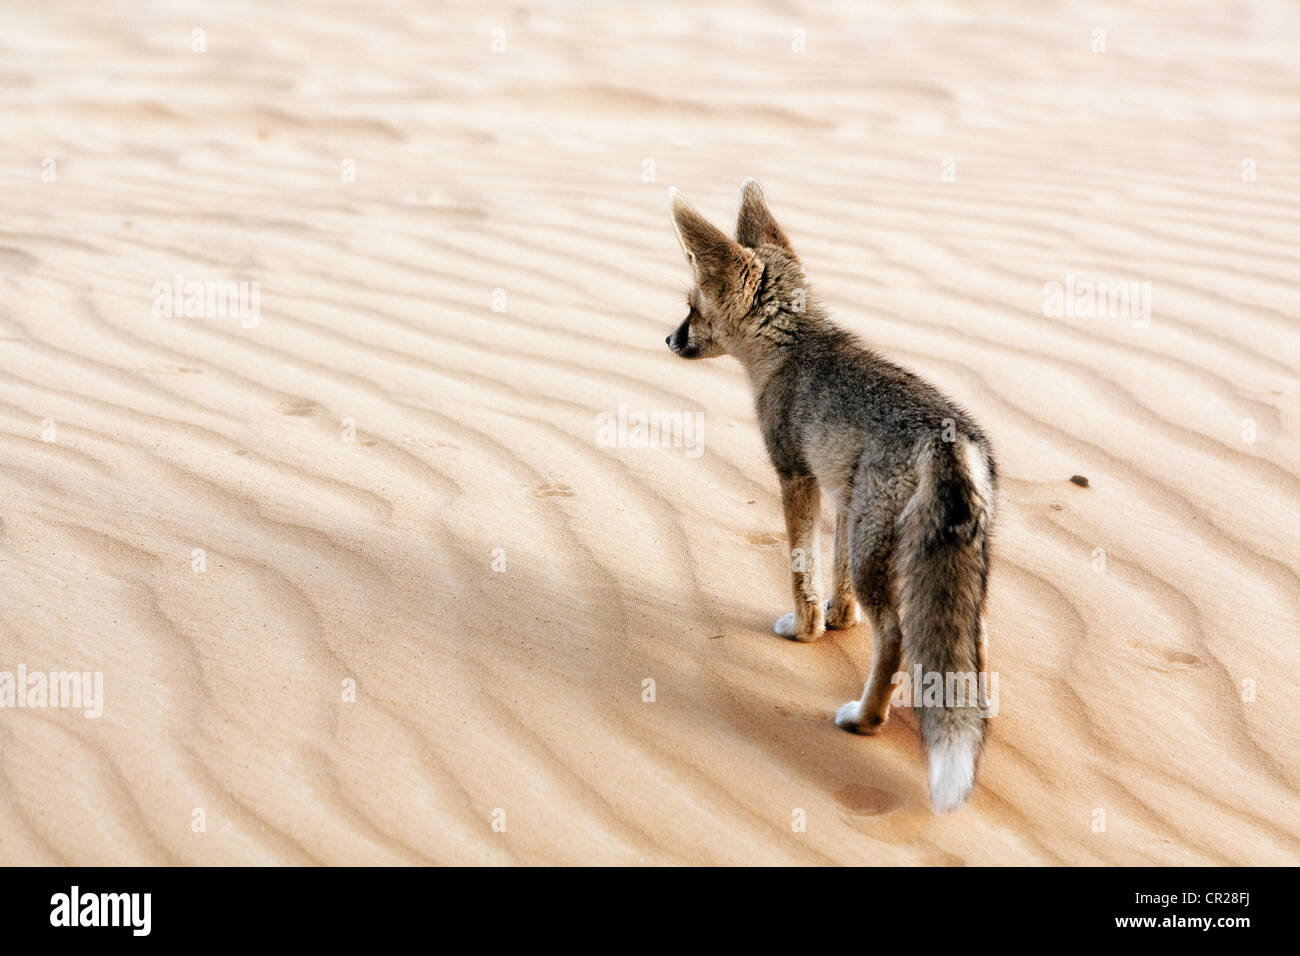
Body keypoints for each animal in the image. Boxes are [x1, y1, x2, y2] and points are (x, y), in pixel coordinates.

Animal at [665, 175, 998, 811]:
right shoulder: (841, 495)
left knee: (894, 637)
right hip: (942, 565)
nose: (668, 338)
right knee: (969, 649)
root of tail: (946, 437)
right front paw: (839, 622)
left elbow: (802, 571)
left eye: (692, 308)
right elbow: (834, 575)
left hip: (881, 555)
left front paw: (806, 630)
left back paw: (866, 718)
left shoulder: (796, 477)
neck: (790, 348)